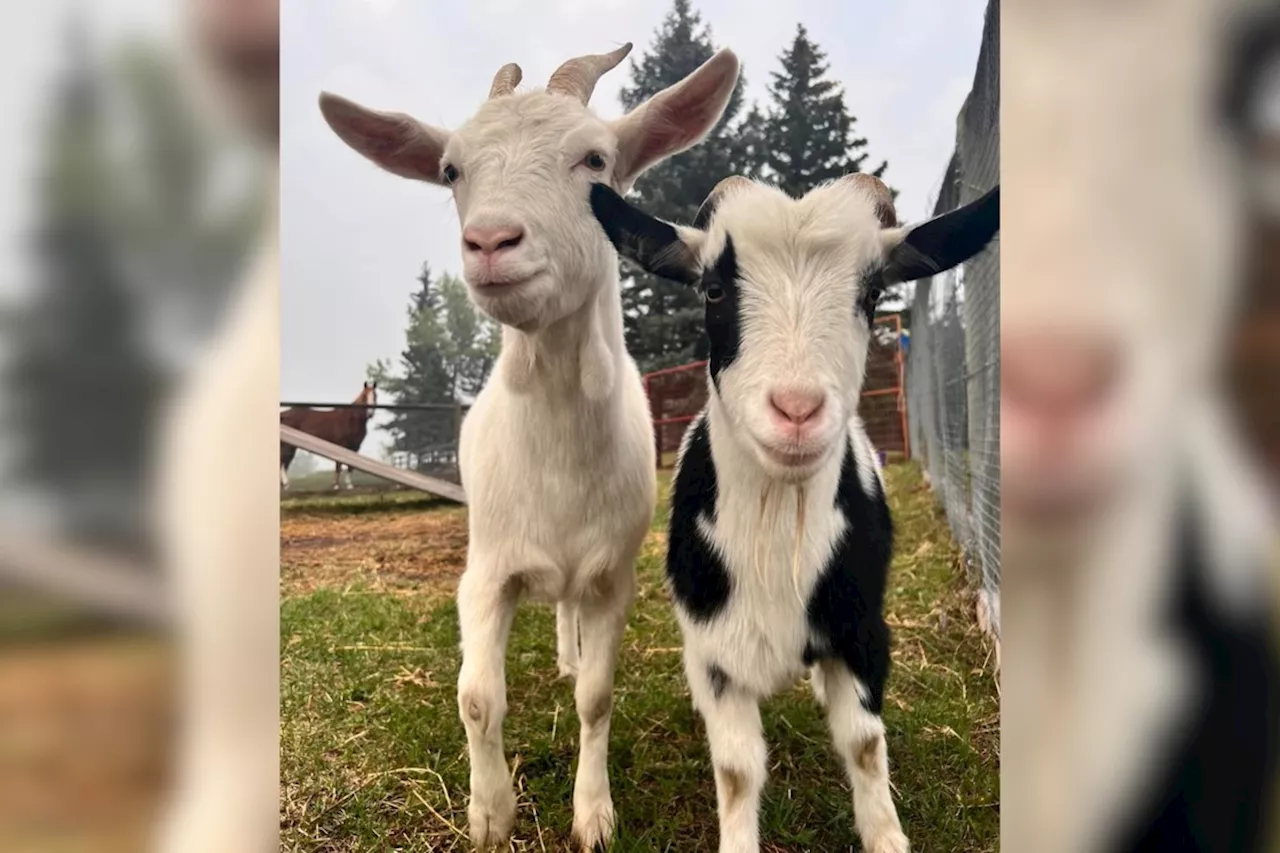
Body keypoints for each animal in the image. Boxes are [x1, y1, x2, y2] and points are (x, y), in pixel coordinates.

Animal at [317, 44, 742, 845]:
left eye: (596, 159)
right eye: (451, 169)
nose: (490, 242)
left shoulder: (613, 576)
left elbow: (598, 697)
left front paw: (593, 813)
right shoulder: (486, 570)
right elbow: (478, 695)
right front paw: (490, 815)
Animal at [588, 174, 998, 850]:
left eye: (872, 291)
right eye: (714, 288)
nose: (797, 410)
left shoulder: (862, 631)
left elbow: (864, 745)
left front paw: (886, 836)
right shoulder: (715, 650)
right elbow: (735, 770)